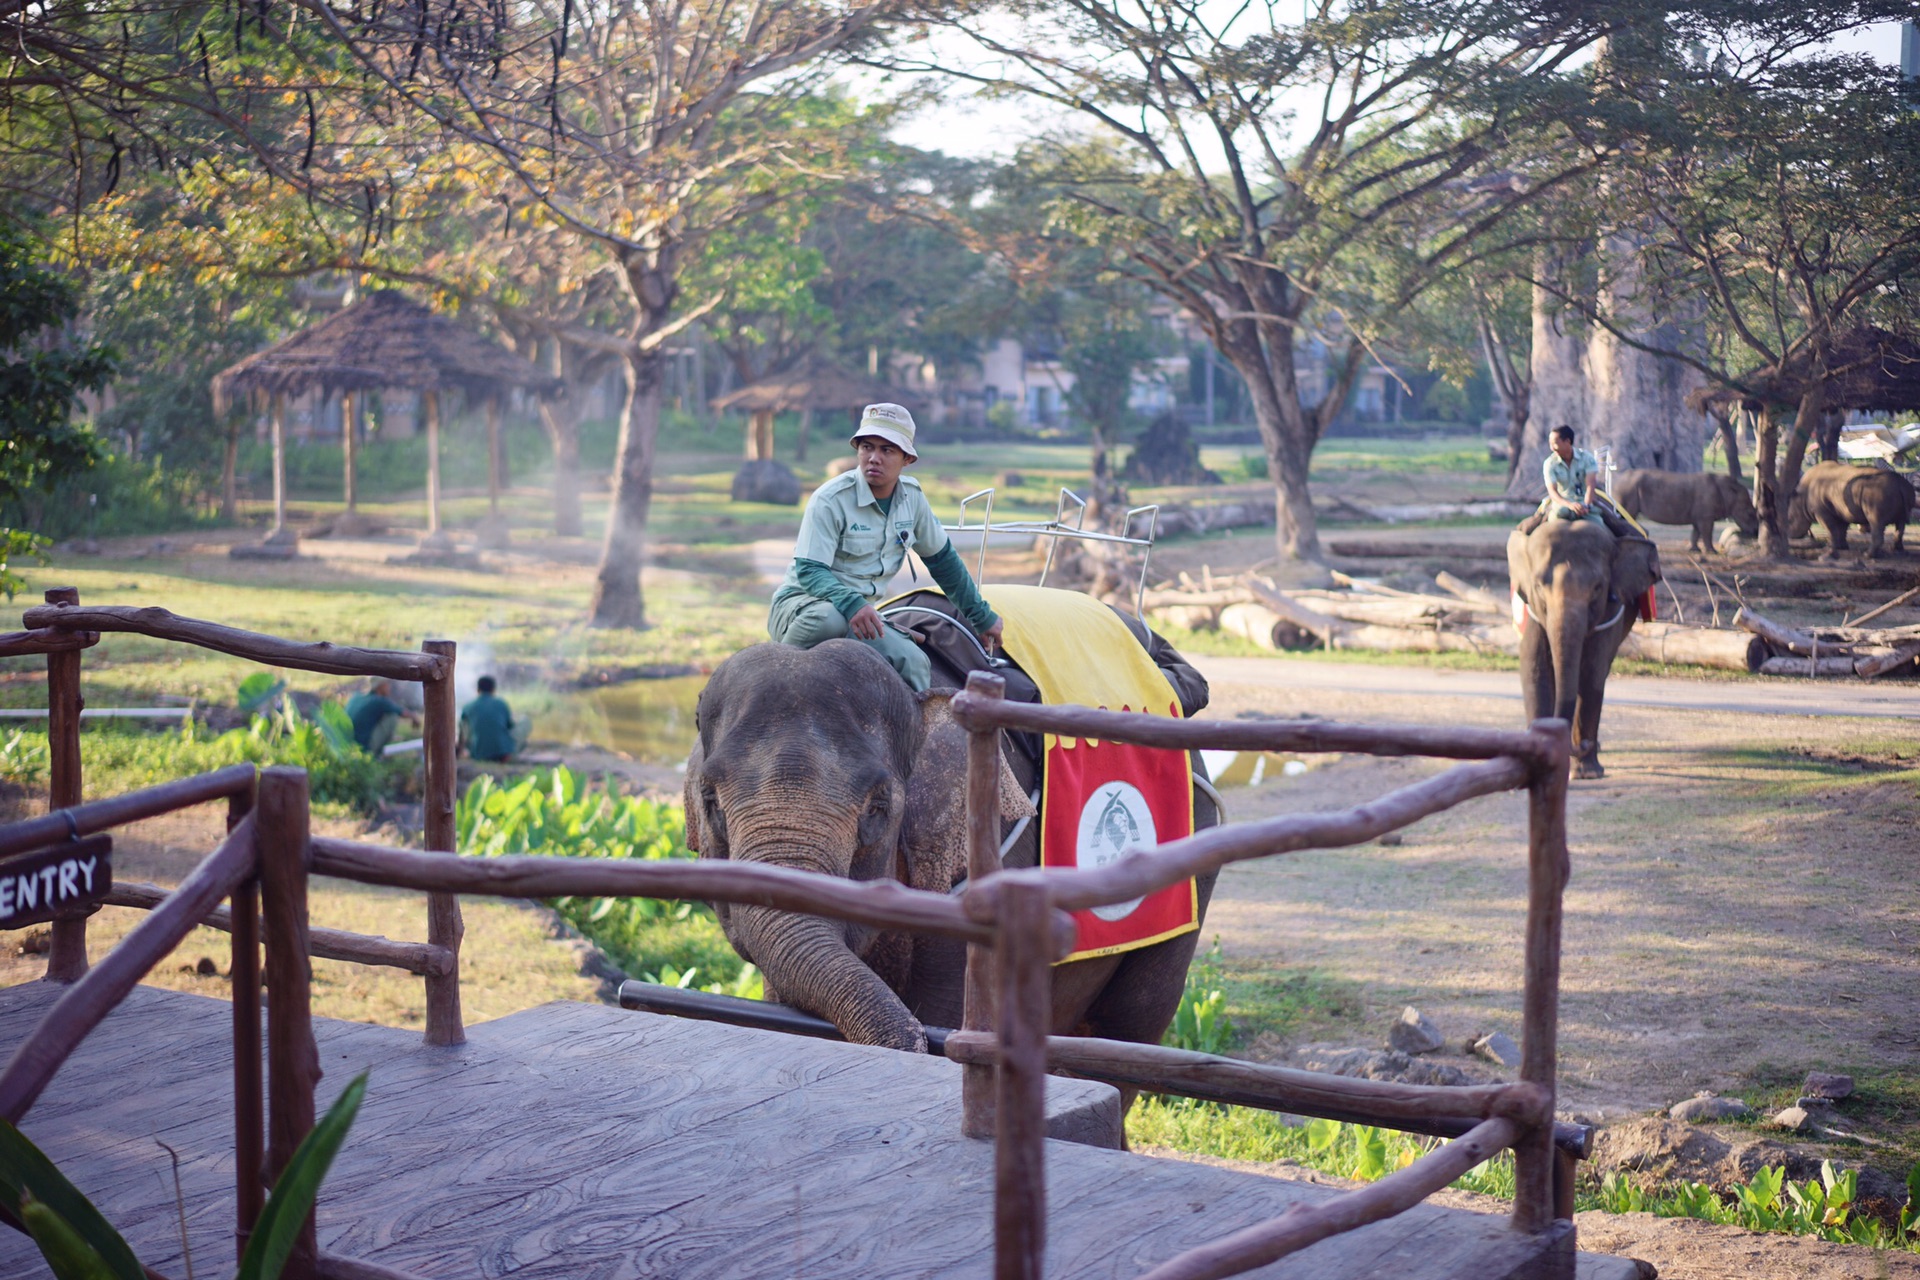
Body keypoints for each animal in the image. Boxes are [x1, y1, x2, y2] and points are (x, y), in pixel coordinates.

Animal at [1505, 518, 1658, 782]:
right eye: (1538, 586)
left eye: (1598, 588)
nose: (1580, 746)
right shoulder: (1530, 606)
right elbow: (1535, 669)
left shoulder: (1611, 608)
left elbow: (1591, 673)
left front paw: (1587, 773)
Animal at [1620, 468, 1758, 552]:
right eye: (1750, 513)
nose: (1755, 533)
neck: (1730, 492)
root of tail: (1620, 476)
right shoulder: (1706, 516)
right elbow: (1707, 533)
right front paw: (1712, 552)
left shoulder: (1700, 516)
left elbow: (1696, 533)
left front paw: (1695, 550)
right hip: (1629, 487)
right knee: (1629, 513)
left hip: (1629, 486)